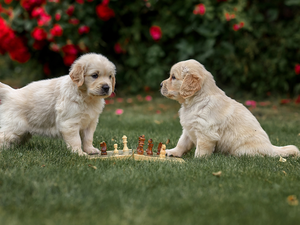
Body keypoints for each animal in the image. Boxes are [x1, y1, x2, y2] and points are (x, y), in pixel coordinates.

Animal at [161, 59, 298, 158]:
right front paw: (172, 152)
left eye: (173, 77)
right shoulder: (188, 128)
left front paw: (198, 160)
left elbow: (202, 148)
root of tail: (271, 148)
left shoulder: (206, 132)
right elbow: (182, 143)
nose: (160, 84)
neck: (195, 101)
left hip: (243, 150)